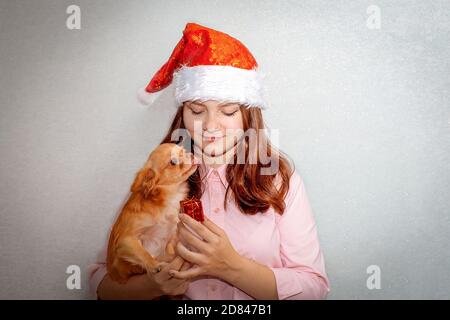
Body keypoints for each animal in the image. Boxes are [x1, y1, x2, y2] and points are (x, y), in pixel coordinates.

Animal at [106, 144, 198, 284]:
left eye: (184, 150)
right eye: (173, 162)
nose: (191, 154)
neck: (171, 195)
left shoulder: (171, 233)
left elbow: (170, 247)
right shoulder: (125, 240)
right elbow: (142, 252)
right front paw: (155, 265)